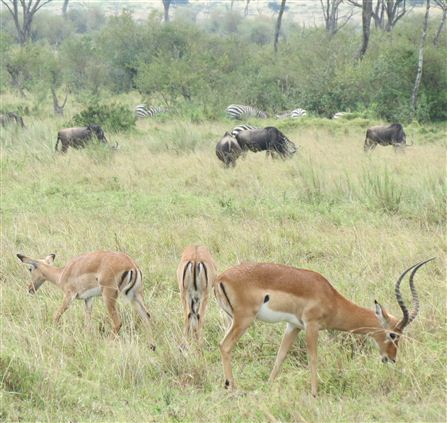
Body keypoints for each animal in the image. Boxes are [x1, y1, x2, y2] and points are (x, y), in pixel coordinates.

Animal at [16, 251, 155, 348]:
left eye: (30, 269)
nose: (30, 288)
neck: (62, 273)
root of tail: (132, 265)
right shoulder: (88, 299)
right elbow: (87, 323)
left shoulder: (69, 296)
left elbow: (56, 316)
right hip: (134, 295)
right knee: (146, 316)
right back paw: (152, 346)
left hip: (109, 296)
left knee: (118, 322)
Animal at [214, 258, 434, 396]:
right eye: (394, 335)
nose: (391, 358)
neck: (331, 297)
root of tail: (221, 277)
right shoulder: (312, 326)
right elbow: (313, 358)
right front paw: (314, 393)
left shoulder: (293, 326)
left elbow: (280, 356)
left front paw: (268, 386)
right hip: (244, 320)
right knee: (225, 346)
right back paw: (231, 387)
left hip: (232, 319)